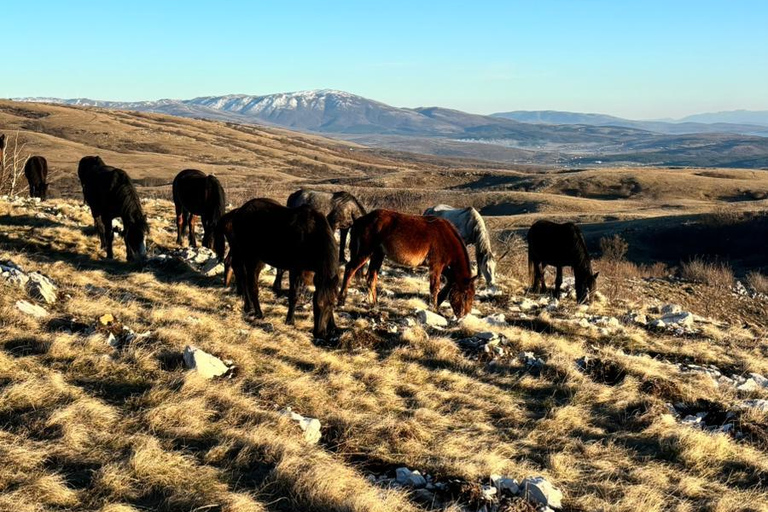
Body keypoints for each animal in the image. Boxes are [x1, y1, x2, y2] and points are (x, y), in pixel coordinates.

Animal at [215, 198, 339, 339]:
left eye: (332, 304)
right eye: (315, 304)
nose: (320, 333)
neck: (313, 238)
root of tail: (238, 213)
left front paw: (333, 327)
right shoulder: (296, 269)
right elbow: (294, 295)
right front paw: (290, 320)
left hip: (255, 258)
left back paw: (249, 306)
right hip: (248, 255)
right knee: (249, 282)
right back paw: (257, 312)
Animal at [338, 209, 476, 318]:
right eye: (465, 296)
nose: (464, 317)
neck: (446, 238)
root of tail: (360, 220)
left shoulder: (444, 268)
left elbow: (449, 282)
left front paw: (438, 305)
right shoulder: (436, 265)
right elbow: (435, 287)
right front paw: (434, 308)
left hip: (378, 254)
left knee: (371, 277)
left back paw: (374, 304)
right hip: (366, 252)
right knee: (350, 269)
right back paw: (342, 300)